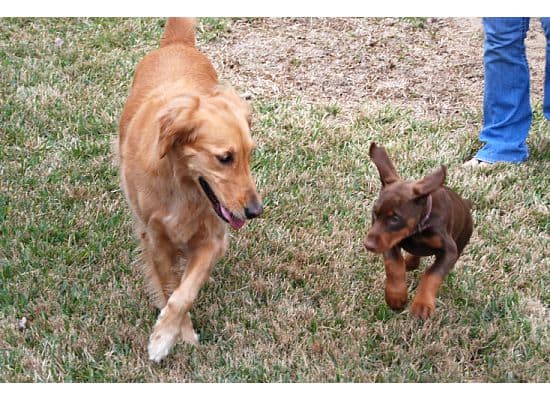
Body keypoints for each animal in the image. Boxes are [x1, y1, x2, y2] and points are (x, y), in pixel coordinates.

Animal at [118, 18, 264, 362]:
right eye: (225, 158)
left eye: (250, 154)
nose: (256, 211)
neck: (182, 186)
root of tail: (177, 44)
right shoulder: (155, 239)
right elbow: (171, 288)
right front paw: (170, 337)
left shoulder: (213, 240)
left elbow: (184, 294)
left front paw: (167, 334)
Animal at [366, 142, 474, 320]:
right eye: (375, 213)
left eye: (395, 218)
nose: (368, 245)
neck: (416, 231)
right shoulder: (389, 242)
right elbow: (394, 265)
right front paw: (396, 297)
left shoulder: (449, 251)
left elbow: (432, 274)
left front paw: (422, 305)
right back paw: (409, 262)